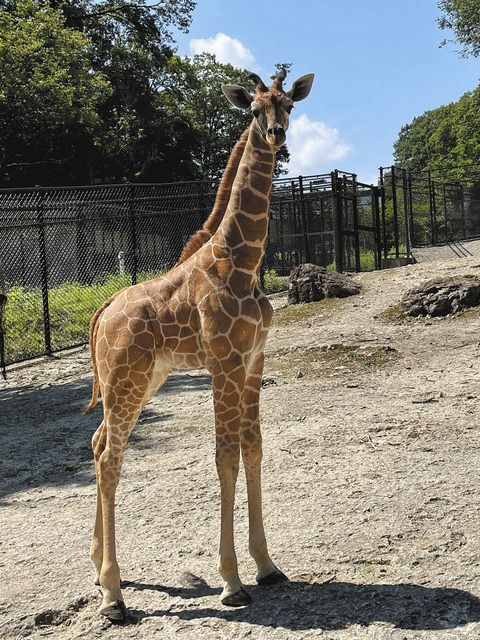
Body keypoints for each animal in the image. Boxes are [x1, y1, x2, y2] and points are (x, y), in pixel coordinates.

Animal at [86, 66, 316, 620]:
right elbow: (224, 457)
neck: (244, 261)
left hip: (143, 380)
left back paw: (97, 567)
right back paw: (113, 596)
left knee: (99, 443)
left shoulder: (255, 361)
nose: (276, 135)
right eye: (254, 110)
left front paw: (267, 567)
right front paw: (232, 582)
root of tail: (103, 312)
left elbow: (254, 450)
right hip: (125, 381)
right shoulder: (224, 363)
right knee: (109, 458)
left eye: (288, 106)